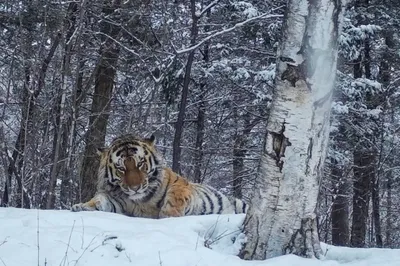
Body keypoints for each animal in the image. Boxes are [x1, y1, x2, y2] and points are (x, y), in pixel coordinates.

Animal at [70, 133, 248, 218]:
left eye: (140, 163)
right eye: (121, 168)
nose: (135, 188)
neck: (140, 200)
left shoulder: (181, 183)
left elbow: (175, 196)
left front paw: (169, 215)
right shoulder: (117, 199)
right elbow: (100, 199)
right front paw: (82, 206)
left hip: (240, 204)